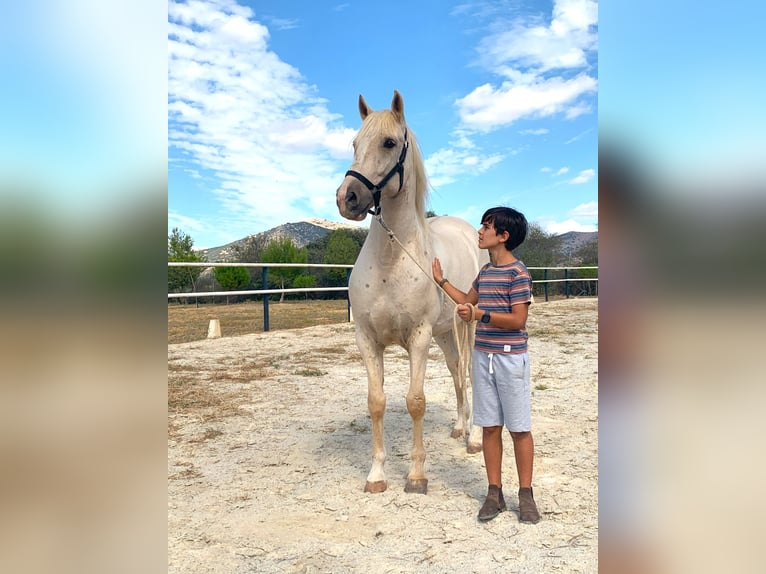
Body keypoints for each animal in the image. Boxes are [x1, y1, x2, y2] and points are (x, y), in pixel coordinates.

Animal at [334, 91, 486, 496]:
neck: (392, 259)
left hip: (471, 327)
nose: (347, 198)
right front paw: (376, 475)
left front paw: (416, 475)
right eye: (354, 143)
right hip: (447, 332)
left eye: (389, 142)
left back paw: (475, 438)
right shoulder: (367, 339)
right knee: (456, 371)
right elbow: (376, 402)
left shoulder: (419, 338)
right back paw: (461, 427)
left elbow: (416, 402)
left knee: (471, 374)